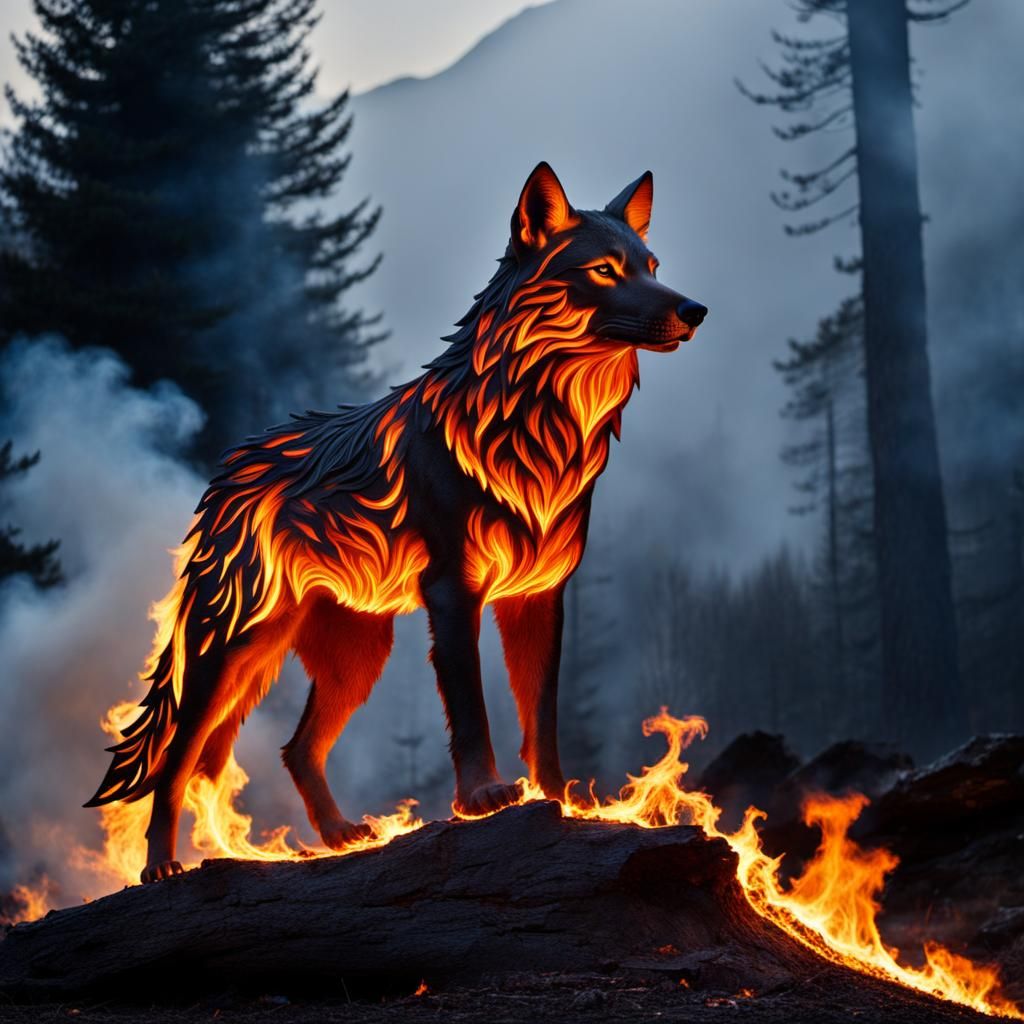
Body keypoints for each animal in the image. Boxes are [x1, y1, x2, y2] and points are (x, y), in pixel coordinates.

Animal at [86, 163, 707, 882]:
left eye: (652, 266)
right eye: (605, 270)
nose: (694, 310)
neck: (536, 428)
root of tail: (225, 476)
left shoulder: (539, 599)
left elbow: (541, 716)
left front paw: (561, 800)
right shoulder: (454, 593)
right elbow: (470, 709)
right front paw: (483, 797)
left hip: (356, 658)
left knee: (297, 748)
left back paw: (338, 835)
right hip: (230, 652)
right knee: (176, 759)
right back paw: (160, 866)